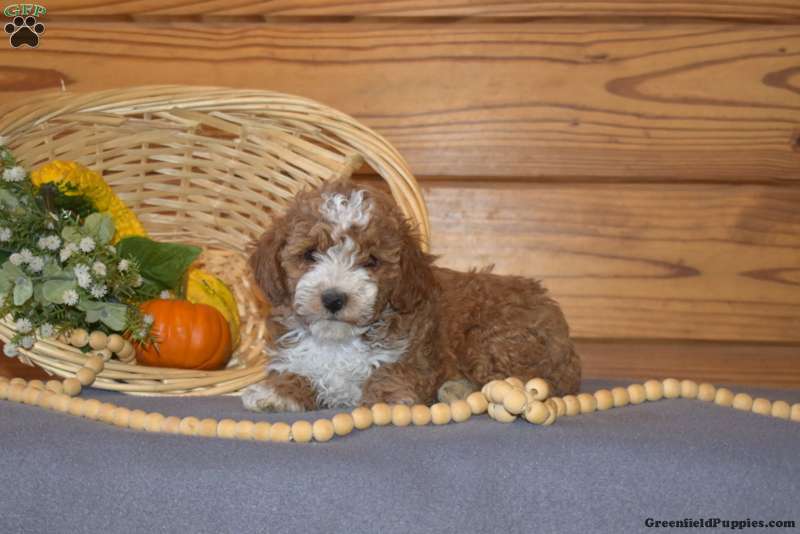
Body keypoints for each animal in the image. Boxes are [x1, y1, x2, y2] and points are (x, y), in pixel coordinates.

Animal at [241, 179, 581, 412]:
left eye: (372, 261)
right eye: (310, 254)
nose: (334, 298)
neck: (339, 339)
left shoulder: (414, 357)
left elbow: (392, 373)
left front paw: (386, 398)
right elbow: (296, 370)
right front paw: (277, 392)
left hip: (494, 338)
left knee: (525, 382)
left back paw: (458, 389)